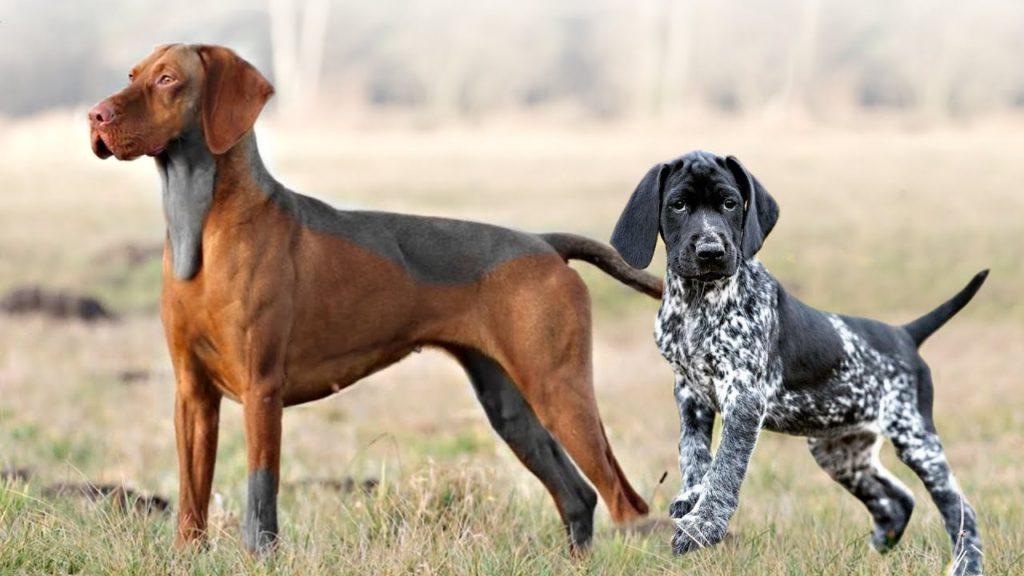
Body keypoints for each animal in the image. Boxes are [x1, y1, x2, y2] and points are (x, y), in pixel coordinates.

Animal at [92, 42, 659, 549]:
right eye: (132, 74)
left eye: (168, 79)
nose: (95, 116)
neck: (203, 228)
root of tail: (544, 242)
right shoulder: (192, 394)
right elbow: (192, 499)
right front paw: (187, 555)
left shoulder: (262, 391)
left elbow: (260, 501)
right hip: (512, 409)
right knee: (579, 497)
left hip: (559, 391)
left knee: (623, 503)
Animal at [610, 150, 987, 569]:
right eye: (678, 205)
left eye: (729, 203)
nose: (711, 251)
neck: (698, 302)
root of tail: (905, 333)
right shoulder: (690, 392)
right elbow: (693, 453)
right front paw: (690, 498)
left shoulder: (744, 399)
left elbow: (725, 466)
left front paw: (703, 526)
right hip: (837, 450)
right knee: (898, 500)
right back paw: (877, 550)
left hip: (915, 437)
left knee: (961, 510)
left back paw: (966, 565)